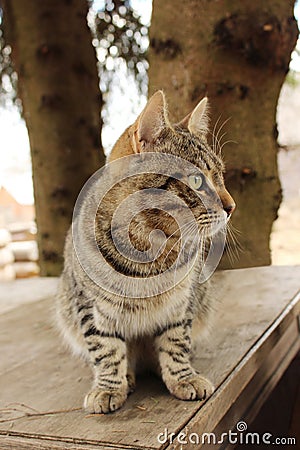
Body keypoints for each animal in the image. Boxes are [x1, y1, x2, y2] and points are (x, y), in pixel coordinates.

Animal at [55, 92, 234, 414]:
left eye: (221, 175)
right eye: (197, 181)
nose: (231, 207)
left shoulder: (181, 304)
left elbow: (175, 342)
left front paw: (183, 377)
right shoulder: (88, 306)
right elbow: (106, 349)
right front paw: (108, 386)